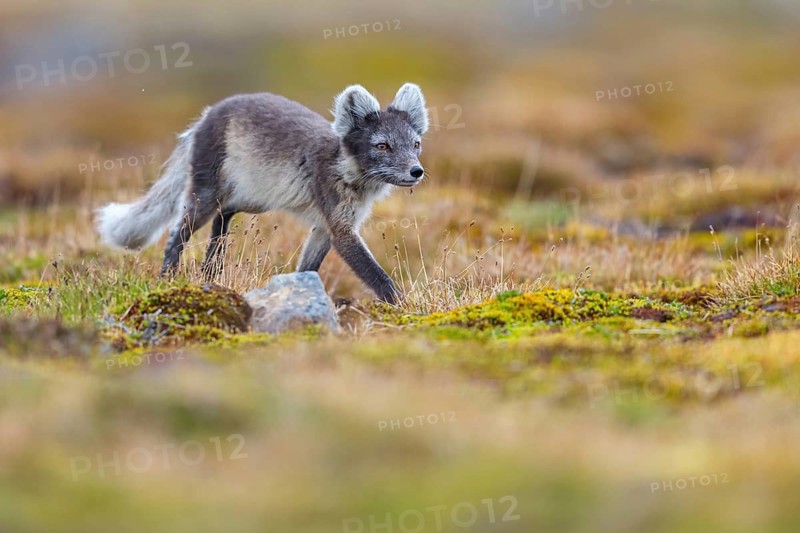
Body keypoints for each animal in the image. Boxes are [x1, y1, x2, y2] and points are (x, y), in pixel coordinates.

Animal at [96, 83, 429, 304]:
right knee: (176, 234)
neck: (344, 169)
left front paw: (298, 291)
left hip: (251, 199)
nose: (417, 171)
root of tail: (206, 115)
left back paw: (211, 274)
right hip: (205, 196)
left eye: (415, 144)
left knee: (223, 216)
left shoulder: (325, 228)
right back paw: (169, 279)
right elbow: (378, 276)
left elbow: (307, 267)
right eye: (382, 146)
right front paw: (405, 309)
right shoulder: (341, 229)